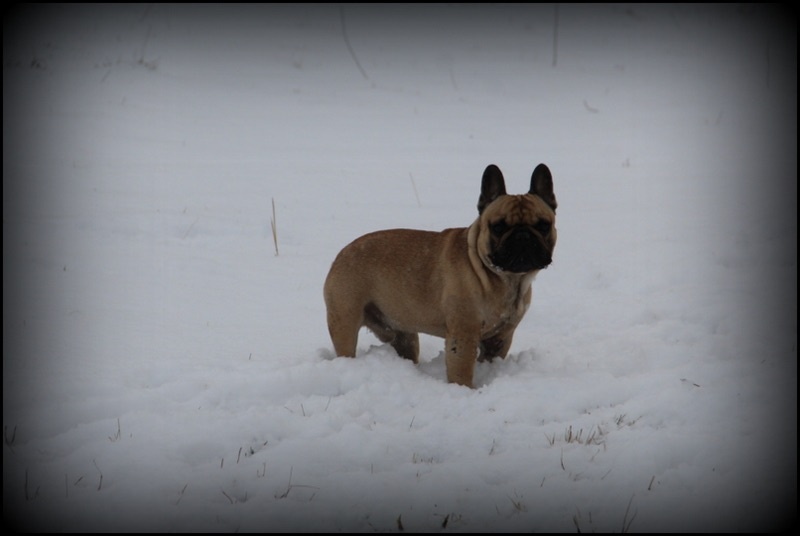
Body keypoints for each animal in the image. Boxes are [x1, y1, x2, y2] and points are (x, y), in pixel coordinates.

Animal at [324, 161, 556, 388]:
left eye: (544, 225)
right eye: (498, 227)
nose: (522, 235)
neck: (506, 279)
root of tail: (342, 253)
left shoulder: (501, 337)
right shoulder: (463, 334)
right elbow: (462, 370)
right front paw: (464, 391)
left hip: (402, 334)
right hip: (345, 321)